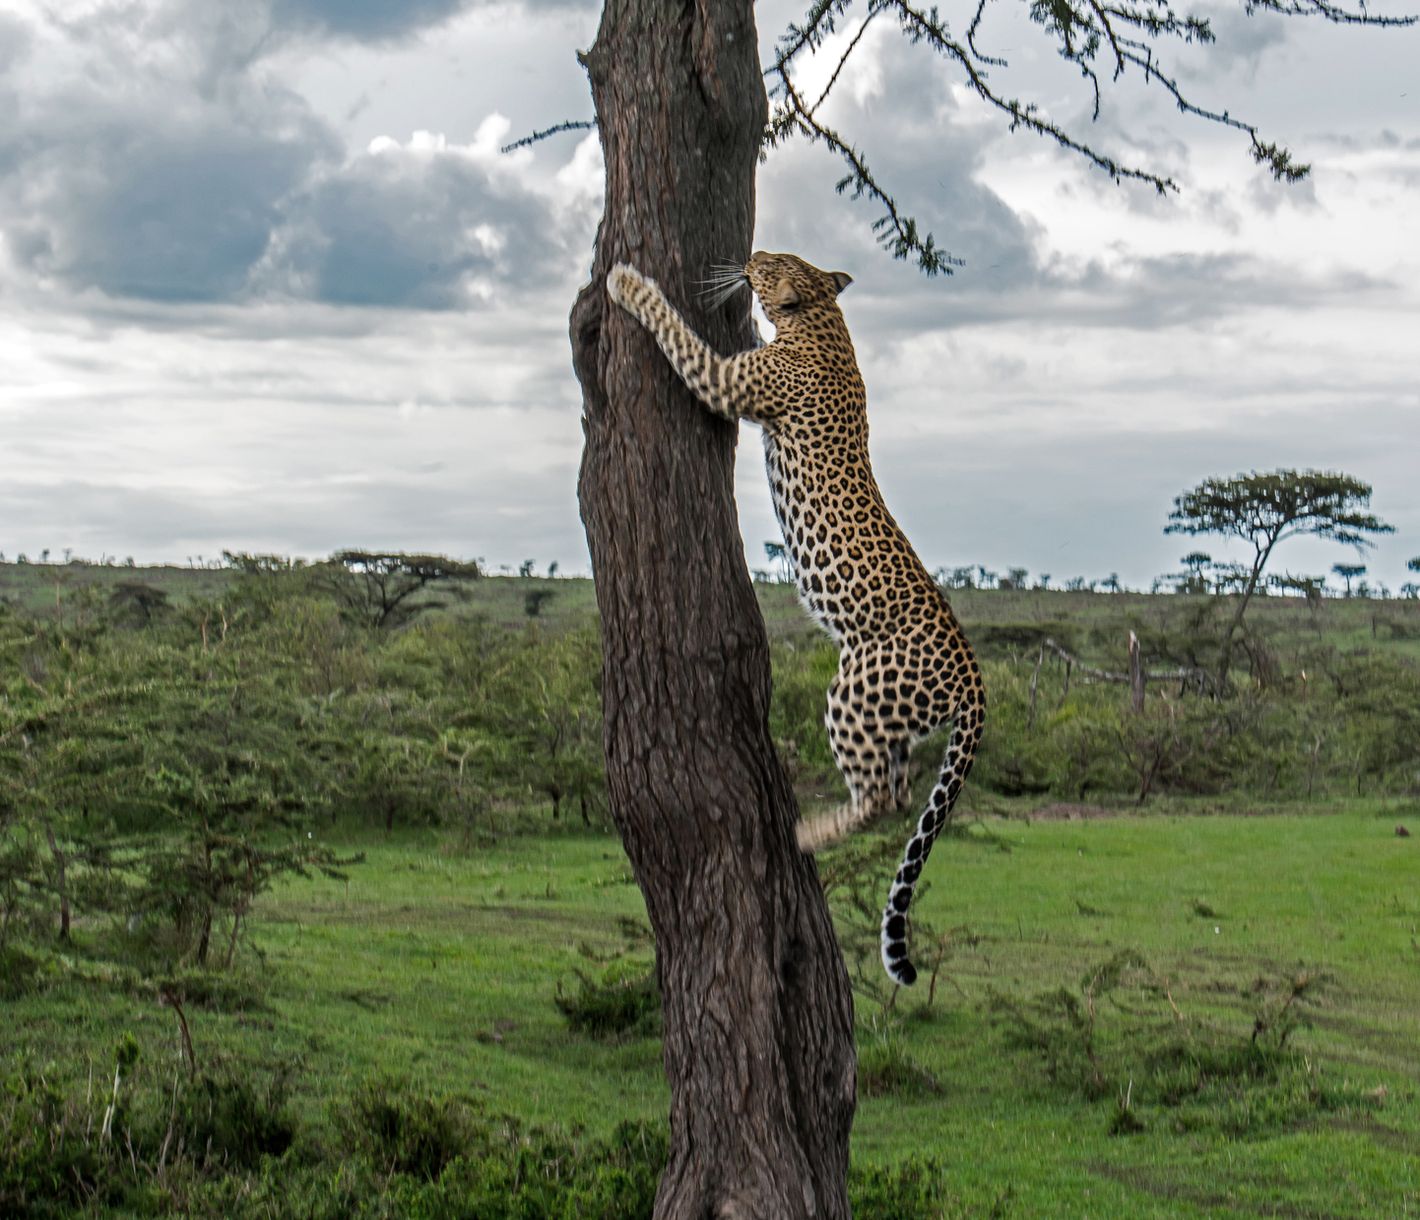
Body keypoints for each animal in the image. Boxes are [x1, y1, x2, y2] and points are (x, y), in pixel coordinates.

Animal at [606, 251, 985, 987]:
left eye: (769, 261)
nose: (748, 257)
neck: (823, 317)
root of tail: (975, 677)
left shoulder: (724, 380)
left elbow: (675, 329)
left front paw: (628, 283)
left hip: (854, 690)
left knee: (884, 799)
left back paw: (807, 832)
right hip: (890, 716)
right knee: (898, 789)